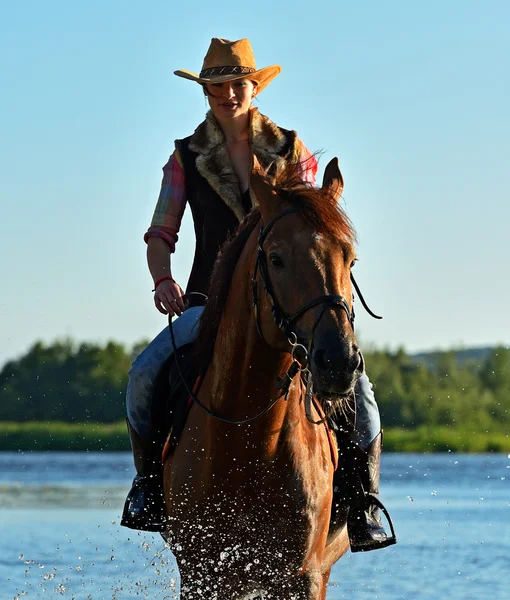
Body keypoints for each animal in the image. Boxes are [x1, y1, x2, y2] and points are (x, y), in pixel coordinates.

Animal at [163, 159, 362, 600]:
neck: (249, 437)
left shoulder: (303, 575)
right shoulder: (202, 575)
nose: (339, 362)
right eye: (276, 259)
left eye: (350, 260)